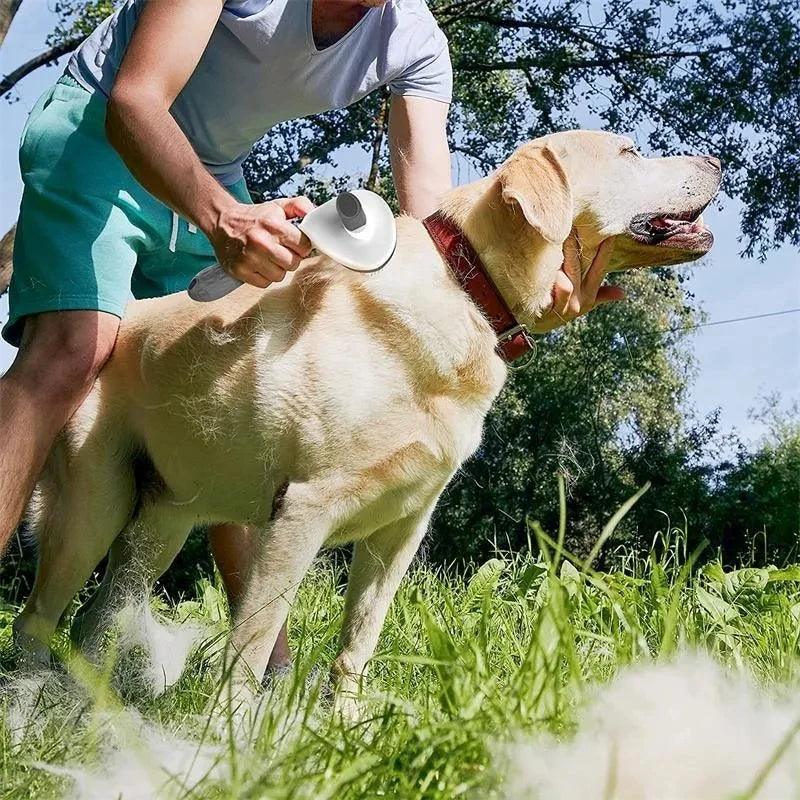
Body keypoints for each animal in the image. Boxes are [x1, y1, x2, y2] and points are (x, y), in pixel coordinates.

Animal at [15, 131, 720, 700]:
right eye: (629, 153)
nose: (715, 160)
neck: (468, 286)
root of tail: (120, 322)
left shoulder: (401, 528)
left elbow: (356, 647)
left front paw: (345, 727)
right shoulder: (301, 512)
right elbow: (249, 649)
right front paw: (234, 745)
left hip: (158, 527)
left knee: (96, 627)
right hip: (91, 509)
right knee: (38, 619)